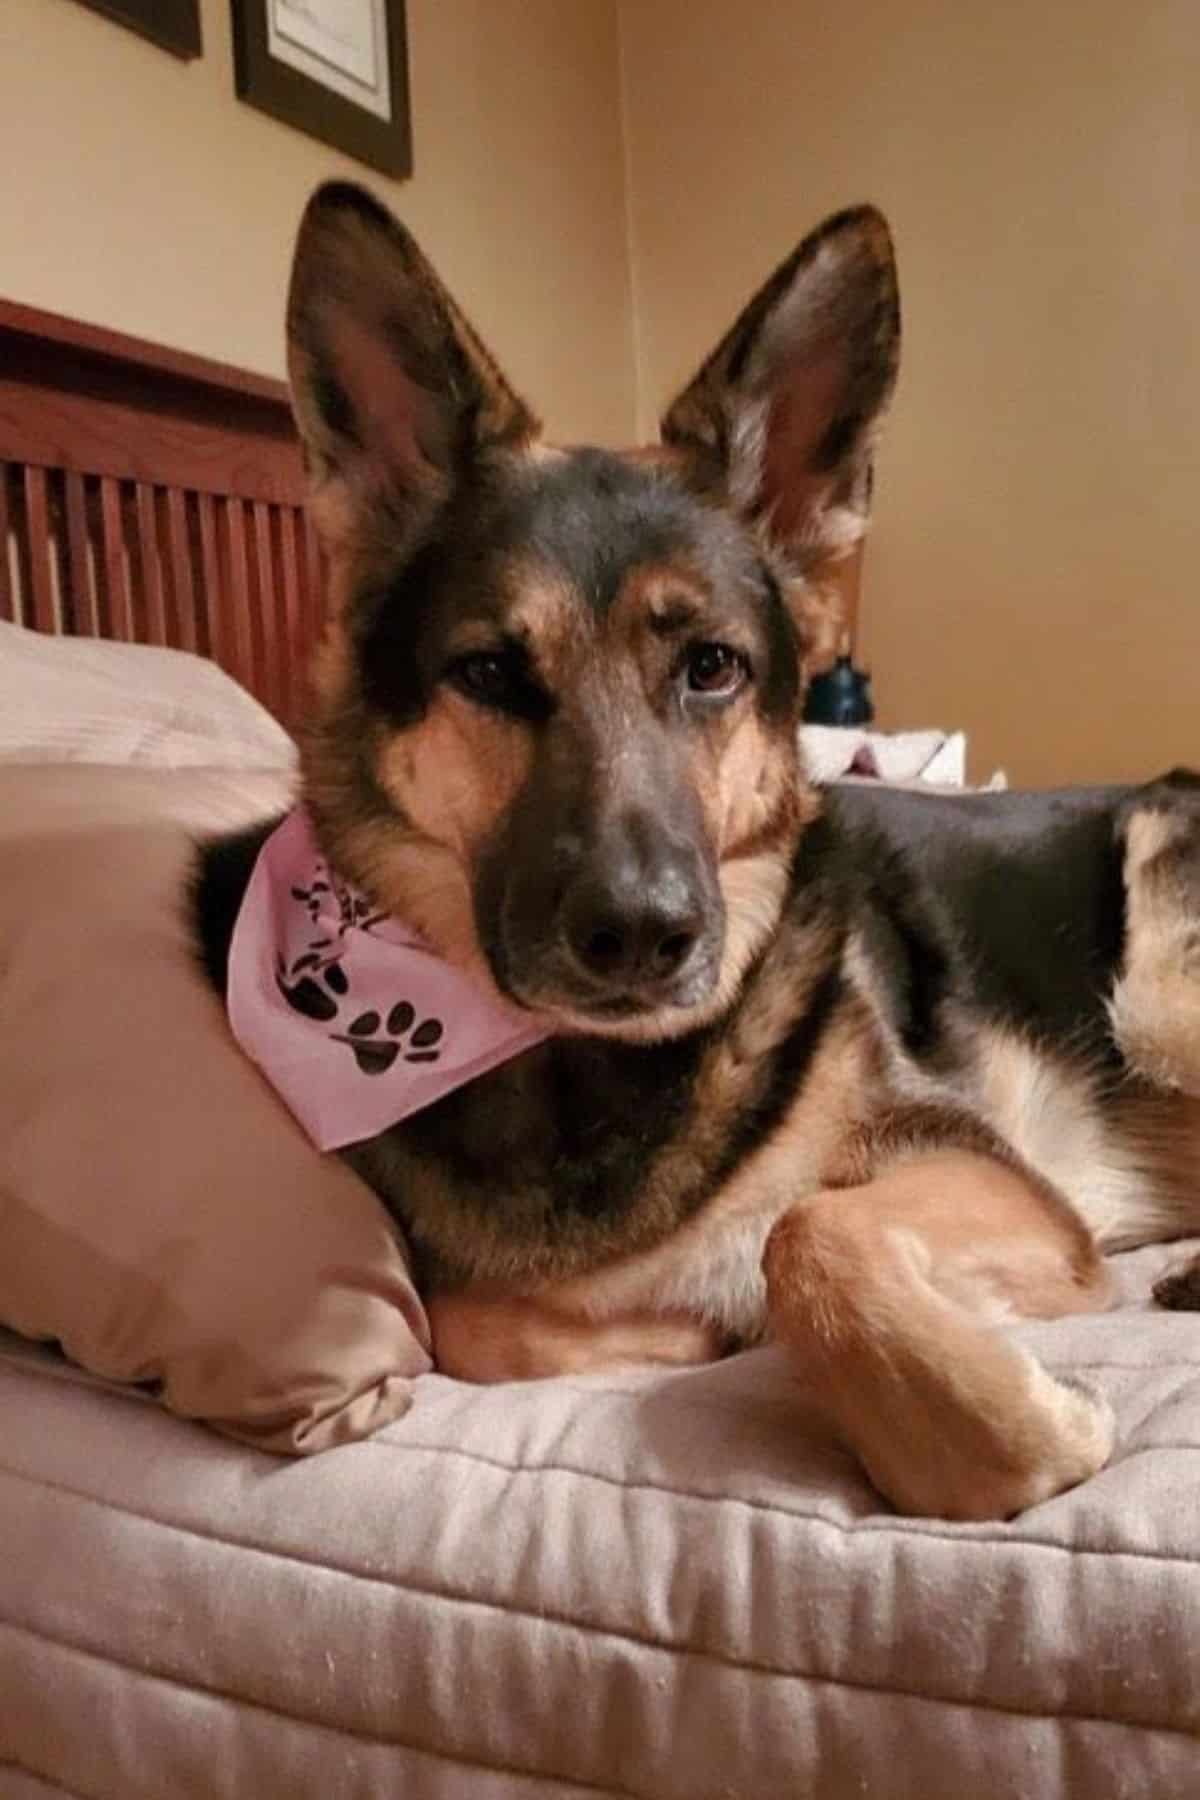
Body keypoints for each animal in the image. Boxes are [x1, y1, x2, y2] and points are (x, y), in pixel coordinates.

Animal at [195, 186, 1200, 1519]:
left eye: (711, 667)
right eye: (489, 673)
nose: (641, 935)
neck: (584, 1077)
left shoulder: (1003, 1191)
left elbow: (804, 1235)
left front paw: (1015, 1430)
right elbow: (474, 1321)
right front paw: (689, 1329)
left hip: (1157, 989)